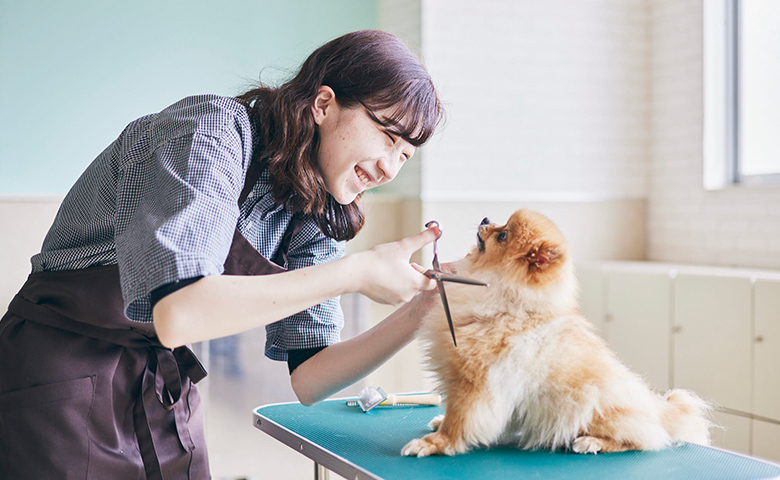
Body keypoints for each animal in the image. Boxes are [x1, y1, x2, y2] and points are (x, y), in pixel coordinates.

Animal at [402, 210, 712, 458]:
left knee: (642, 439)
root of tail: (658, 410)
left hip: (589, 405)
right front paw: (439, 423)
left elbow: (459, 419)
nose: (485, 219)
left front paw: (436, 442)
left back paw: (591, 442)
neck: (504, 302)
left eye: (502, 235)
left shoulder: (474, 383)